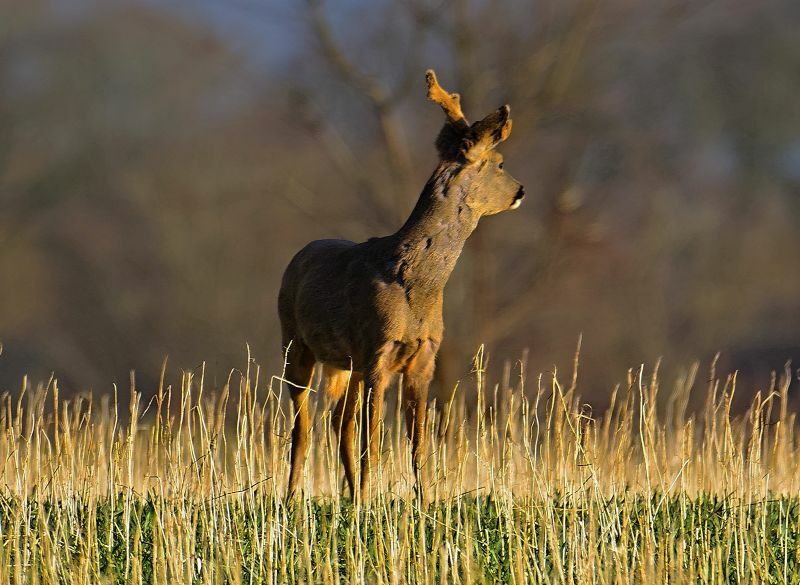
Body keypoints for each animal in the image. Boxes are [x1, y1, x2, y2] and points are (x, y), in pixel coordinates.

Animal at [280, 67, 524, 498]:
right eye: (498, 161)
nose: (520, 190)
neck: (418, 289)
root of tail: (298, 255)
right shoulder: (377, 349)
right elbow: (373, 442)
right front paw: (373, 502)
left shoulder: (424, 355)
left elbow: (418, 442)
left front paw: (423, 501)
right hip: (295, 343)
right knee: (303, 426)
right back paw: (293, 500)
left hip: (344, 364)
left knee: (338, 422)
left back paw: (350, 496)